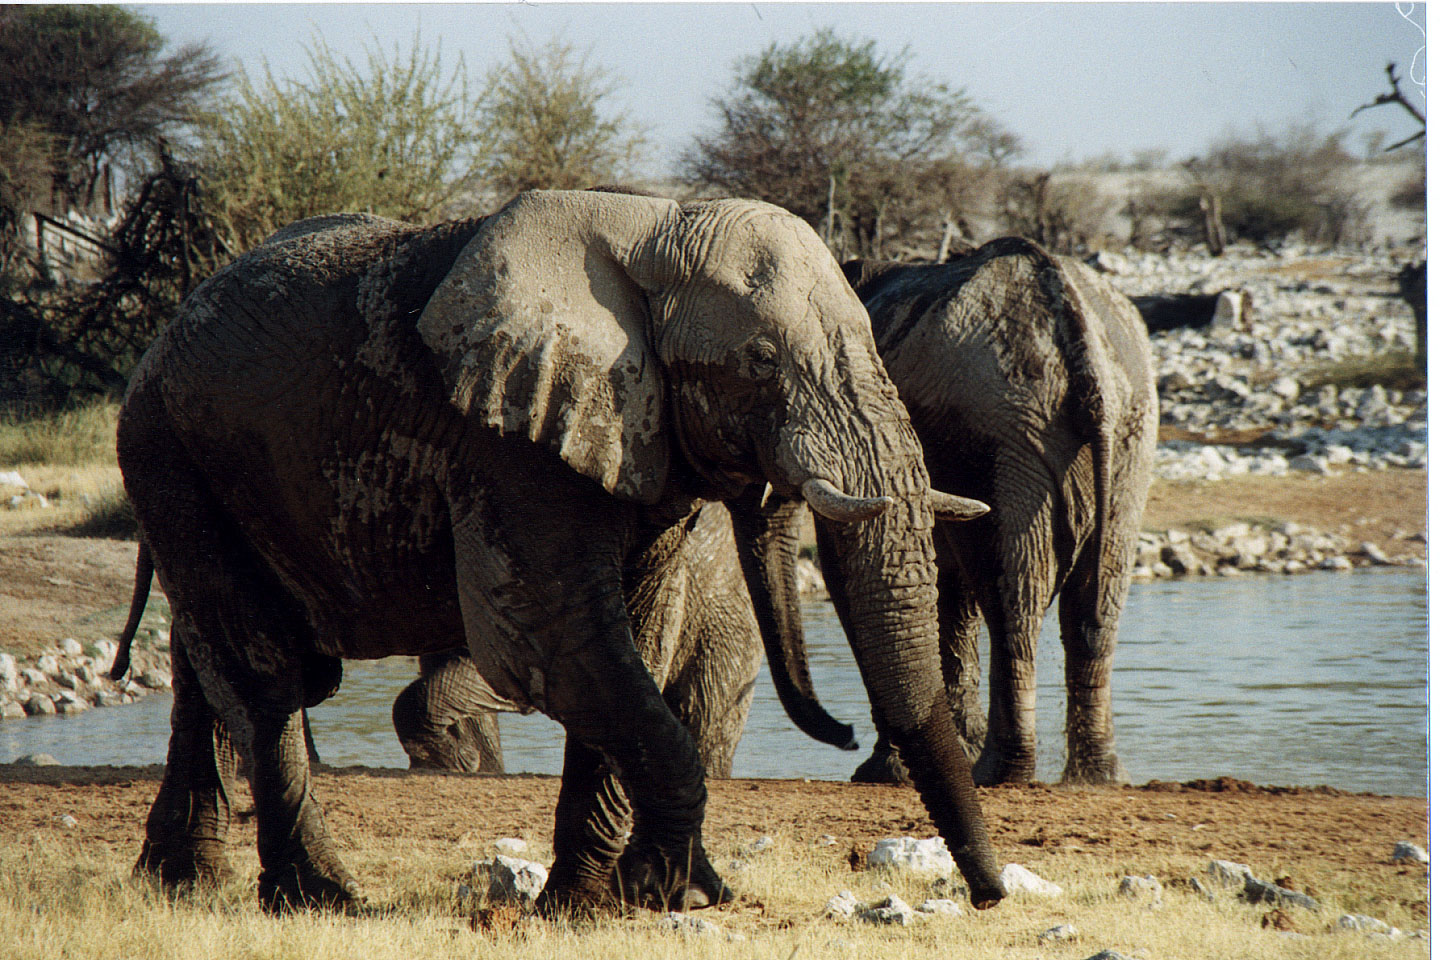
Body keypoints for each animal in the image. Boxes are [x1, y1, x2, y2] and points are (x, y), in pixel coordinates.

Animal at [118, 189, 1008, 915]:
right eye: (760, 362)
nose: (990, 894)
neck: (657, 226)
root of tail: (159, 338)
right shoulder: (507, 442)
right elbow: (555, 647)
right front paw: (666, 891)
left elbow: (632, 642)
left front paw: (587, 905)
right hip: (169, 454)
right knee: (266, 676)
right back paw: (319, 898)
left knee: (211, 670)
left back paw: (180, 885)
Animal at [766, 240, 1157, 788]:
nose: (846, 737)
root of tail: (1078, 331)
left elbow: (856, 575)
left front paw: (886, 771)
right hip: (1125, 433)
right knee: (1095, 605)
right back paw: (1095, 777)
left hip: (1003, 431)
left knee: (1012, 599)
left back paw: (1000, 772)